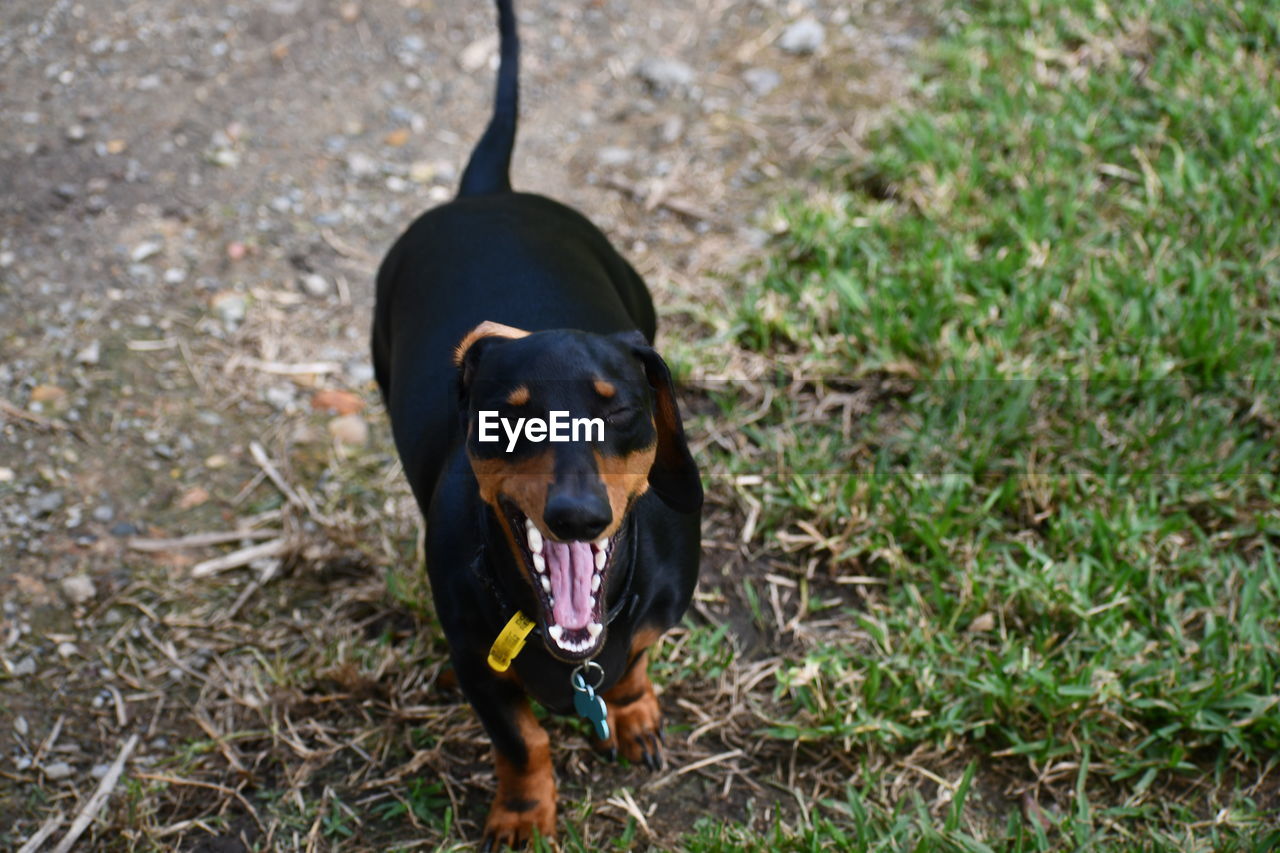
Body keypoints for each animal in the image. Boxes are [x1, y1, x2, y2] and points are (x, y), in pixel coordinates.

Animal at [371, 0, 706, 845]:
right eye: (507, 416)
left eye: (616, 404)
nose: (577, 515)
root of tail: (487, 192)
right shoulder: (473, 659)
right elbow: (521, 738)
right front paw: (523, 814)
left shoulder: (657, 613)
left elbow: (638, 658)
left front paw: (635, 712)